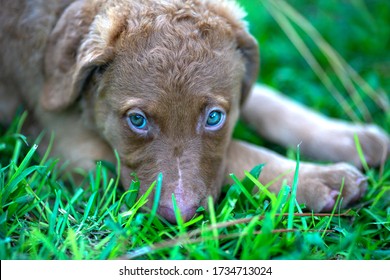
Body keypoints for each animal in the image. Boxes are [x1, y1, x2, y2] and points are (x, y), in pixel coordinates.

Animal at [0, 0, 390, 223]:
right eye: (137, 120)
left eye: (214, 117)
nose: (180, 216)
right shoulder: (70, 143)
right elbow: (237, 153)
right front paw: (319, 178)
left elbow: (265, 102)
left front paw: (351, 138)